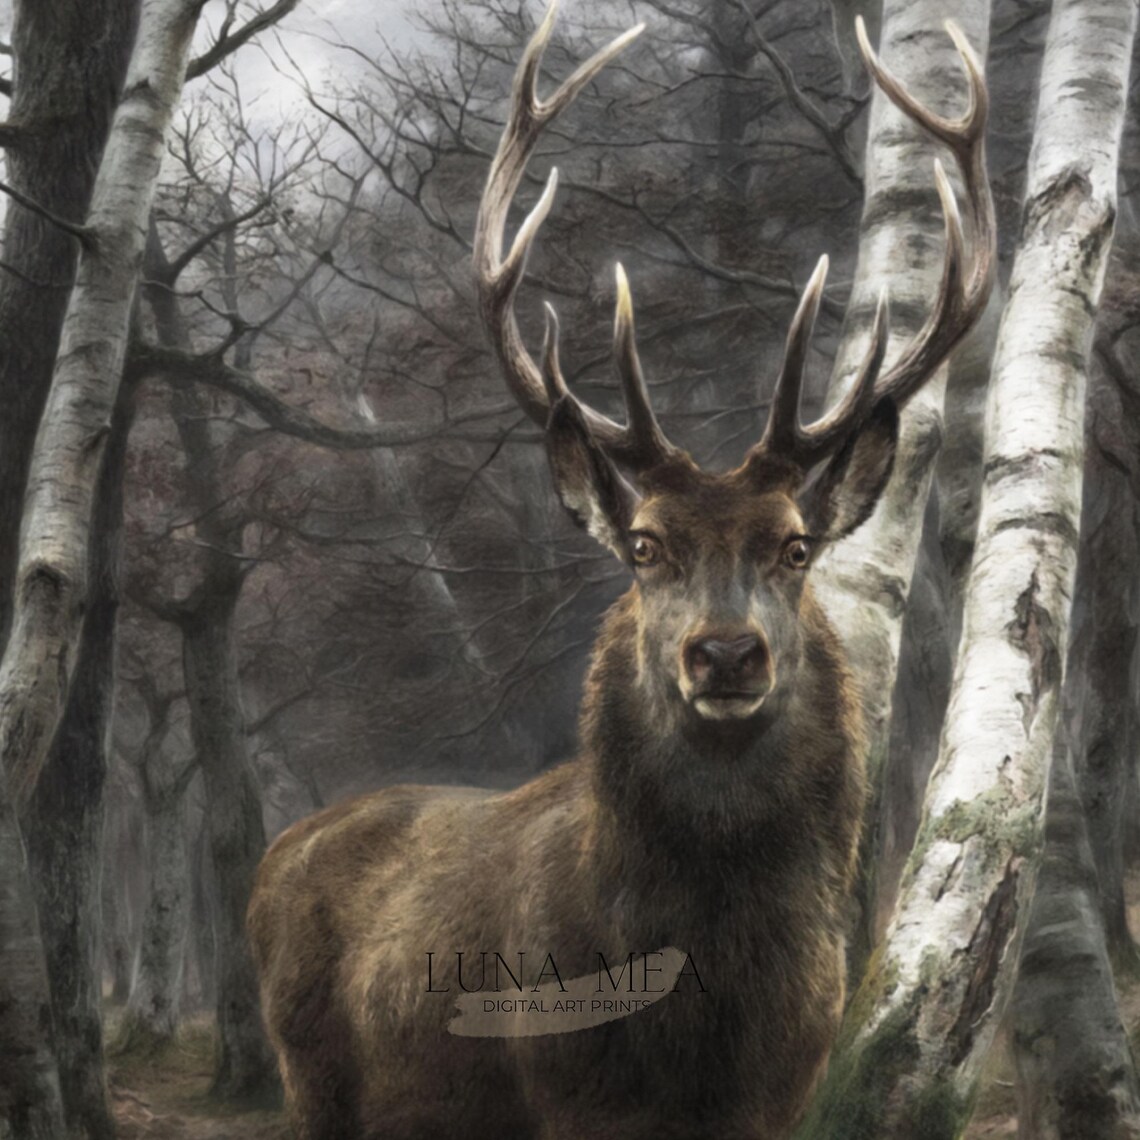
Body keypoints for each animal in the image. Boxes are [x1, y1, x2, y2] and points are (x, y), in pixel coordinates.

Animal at [248, 8, 994, 1139]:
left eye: (796, 546)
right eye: (644, 546)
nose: (724, 654)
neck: (710, 993)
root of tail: (275, 855)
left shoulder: (785, 1089)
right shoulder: (569, 1088)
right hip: (311, 1075)